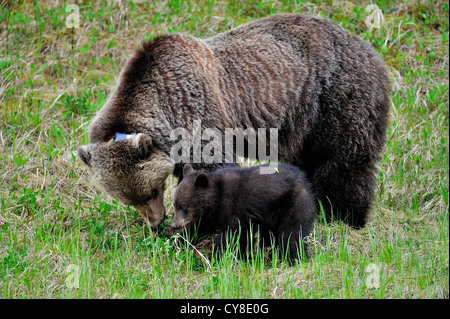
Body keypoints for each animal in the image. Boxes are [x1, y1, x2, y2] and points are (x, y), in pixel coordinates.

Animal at [77, 14, 390, 230]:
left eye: (152, 190)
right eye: (129, 199)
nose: (155, 223)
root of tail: (371, 51)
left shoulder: (197, 115)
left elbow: (212, 169)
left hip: (336, 99)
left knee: (343, 163)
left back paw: (344, 216)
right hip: (304, 126)